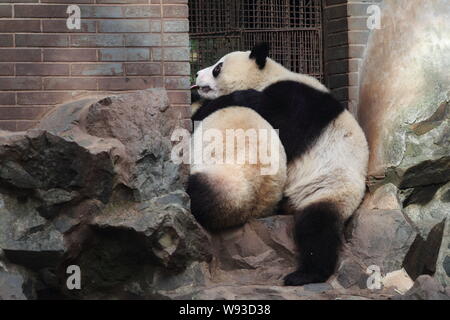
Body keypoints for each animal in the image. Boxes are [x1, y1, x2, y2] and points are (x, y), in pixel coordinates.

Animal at [190, 43, 370, 286]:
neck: (269, 76)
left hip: (330, 187)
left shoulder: (298, 103)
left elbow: (282, 123)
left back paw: (306, 274)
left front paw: (232, 99)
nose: (197, 75)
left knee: (316, 227)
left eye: (218, 67)